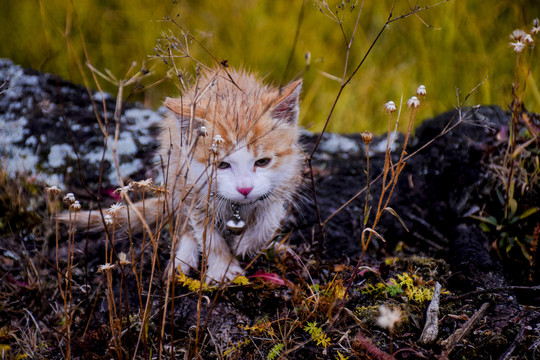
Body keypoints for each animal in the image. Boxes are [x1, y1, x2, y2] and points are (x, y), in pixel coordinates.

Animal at [62, 67, 304, 282]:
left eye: (263, 162)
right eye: (222, 165)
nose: (245, 189)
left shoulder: (285, 179)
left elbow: (269, 218)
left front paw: (244, 244)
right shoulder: (192, 188)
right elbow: (206, 234)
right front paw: (223, 267)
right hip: (174, 171)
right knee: (186, 225)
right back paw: (182, 260)